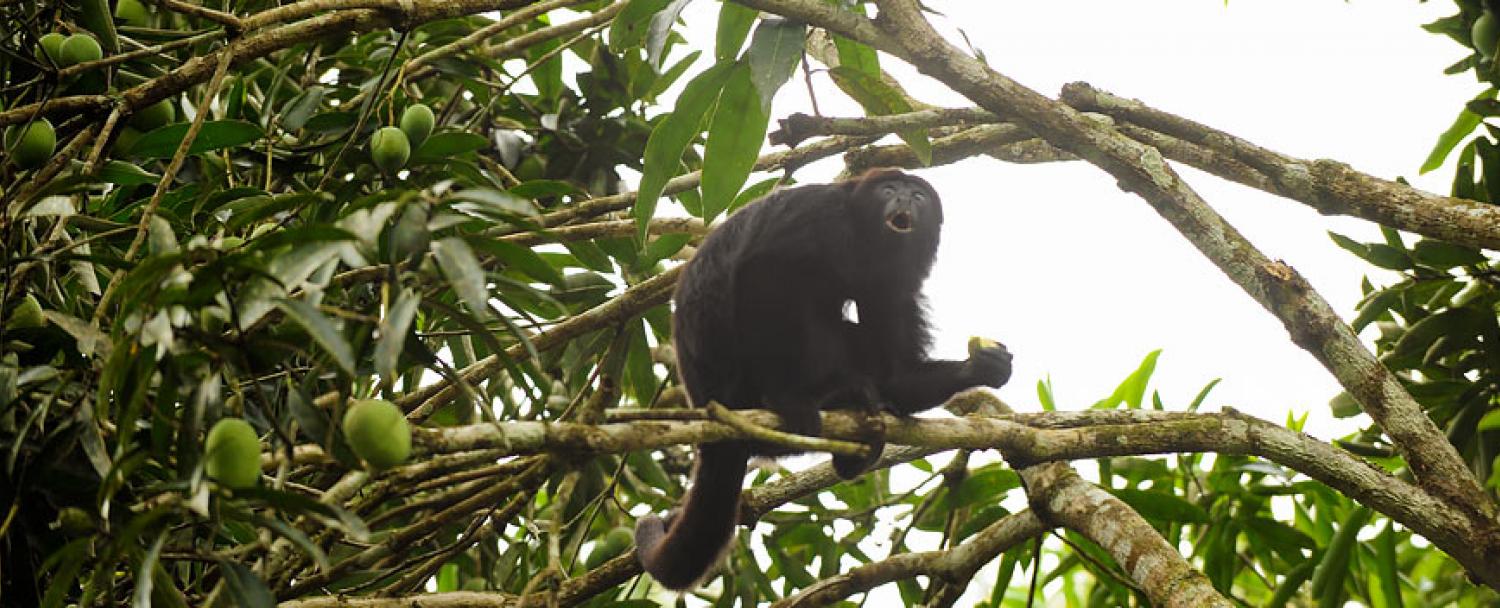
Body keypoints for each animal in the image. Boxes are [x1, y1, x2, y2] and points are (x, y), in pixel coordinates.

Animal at [633, 165, 1008, 588]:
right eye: (888, 189)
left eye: (918, 196)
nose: (903, 199)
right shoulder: (820, 217)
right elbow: (764, 269)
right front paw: (786, 397)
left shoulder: (894, 282)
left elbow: (896, 373)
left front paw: (979, 367)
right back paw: (813, 398)